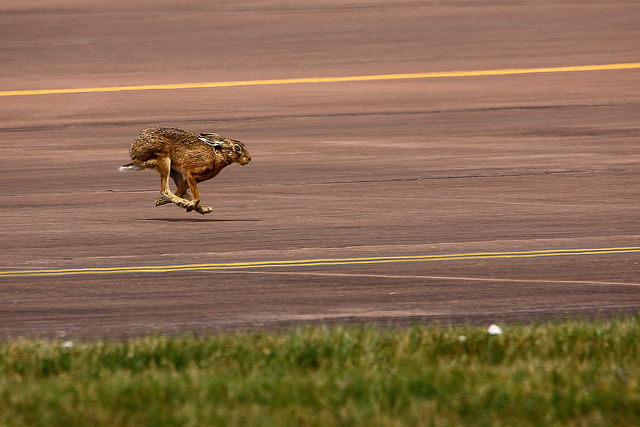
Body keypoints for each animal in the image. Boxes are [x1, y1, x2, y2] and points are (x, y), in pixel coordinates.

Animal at [119, 126, 251, 214]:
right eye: (237, 148)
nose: (249, 159)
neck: (218, 154)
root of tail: (134, 155)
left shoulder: (194, 178)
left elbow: (182, 190)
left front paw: (162, 202)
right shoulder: (190, 172)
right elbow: (196, 197)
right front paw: (188, 204)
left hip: (172, 169)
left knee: (177, 191)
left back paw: (201, 208)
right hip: (163, 159)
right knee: (165, 189)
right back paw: (187, 204)